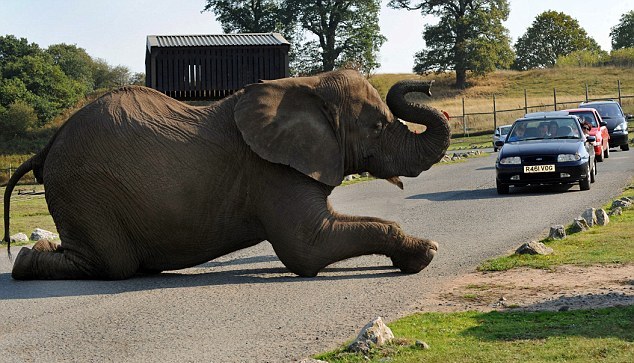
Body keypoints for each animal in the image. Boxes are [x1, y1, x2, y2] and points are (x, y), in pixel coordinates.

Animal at [4, 69, 450, 280]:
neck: (307, 84)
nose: (427, 85)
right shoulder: (270, 169)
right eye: (376, 126)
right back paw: (25, 261)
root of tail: (48, 144)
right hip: (85, 189)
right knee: (113, 264)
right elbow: (307, 248)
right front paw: (426, 252)